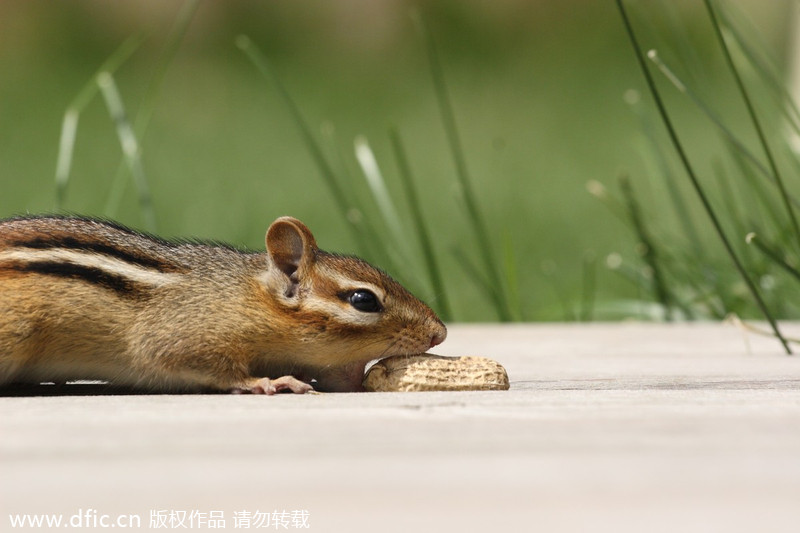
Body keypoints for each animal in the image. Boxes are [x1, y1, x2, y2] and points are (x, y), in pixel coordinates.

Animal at [0, 215, 447, 394]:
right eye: (363, 300)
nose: (439, 333)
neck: (245, 297)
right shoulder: (184, 335)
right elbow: (198, 363)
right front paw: (267, 382)